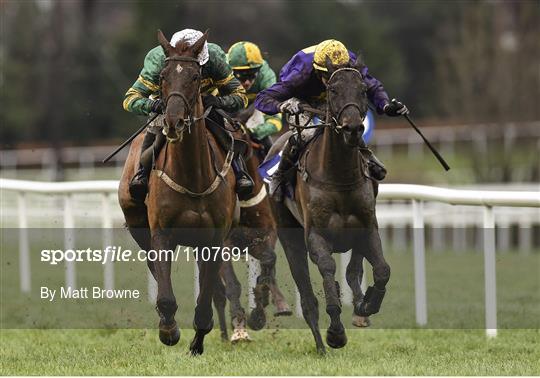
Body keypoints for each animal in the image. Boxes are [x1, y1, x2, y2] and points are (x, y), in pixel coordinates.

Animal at [118, 31, 236, 356]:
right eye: (162, 76)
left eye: (196, 77)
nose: (172, 121)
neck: (193, 177)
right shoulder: (161, 234)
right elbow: (166, 294)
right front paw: (169, 330)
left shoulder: (214, 240)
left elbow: (206, 299)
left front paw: (198, 341)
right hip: (138, 226)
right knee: (154, 267)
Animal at [270, 56, 392, 354]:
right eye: (333, 90)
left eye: (363, 90)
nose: (353, 128)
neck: (339, 176)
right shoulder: (315, 236)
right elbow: (326, 270)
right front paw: (335, 333)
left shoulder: (367, 226)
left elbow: (381, 270)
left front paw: (367, 304)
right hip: (288, 236)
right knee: (307, 297)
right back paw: (321, 344)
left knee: (353, 271)